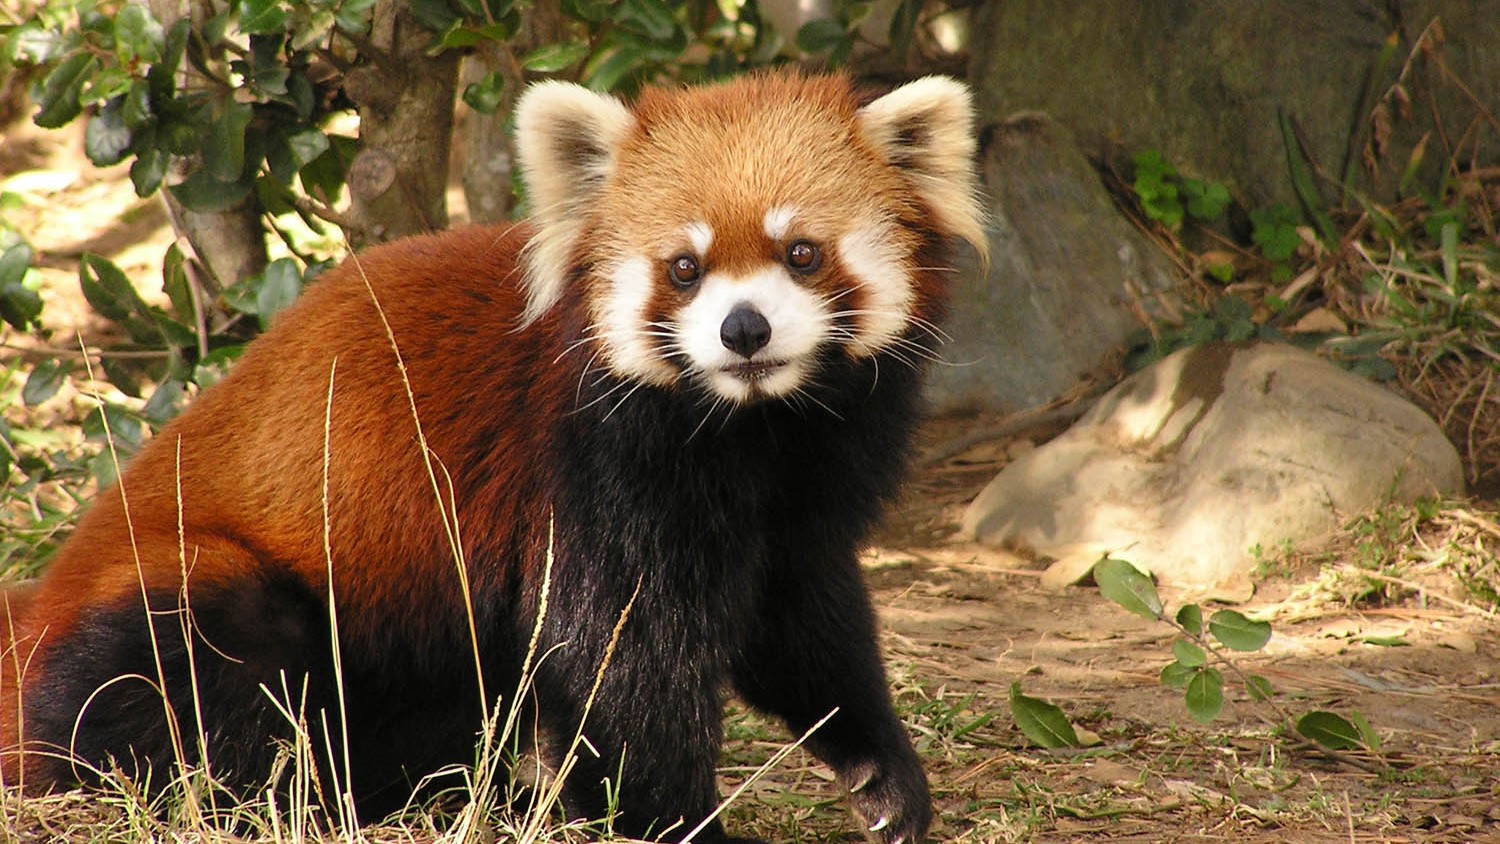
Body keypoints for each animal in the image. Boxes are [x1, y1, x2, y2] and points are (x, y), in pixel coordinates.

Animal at [0, 72, 984, 844]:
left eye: (802, 253)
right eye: (684, 268)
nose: (744, 330)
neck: (749, 427)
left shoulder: (808, 482)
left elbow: (803, 619)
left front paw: (882, 772)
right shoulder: (592, 471)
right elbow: (620, 665)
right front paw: (674, 822)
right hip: (195, 587)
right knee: (206, 672)